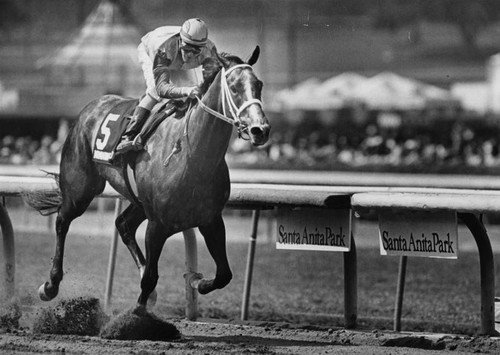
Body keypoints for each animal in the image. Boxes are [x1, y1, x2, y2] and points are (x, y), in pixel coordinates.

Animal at [25, 47, 272, 312]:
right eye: (234, 88)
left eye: (259, 84)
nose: (260, 129)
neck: (191, 154)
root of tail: (93, 105)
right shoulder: (157, 225)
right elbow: (151, 277)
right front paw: (137, 312)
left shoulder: (211, 219)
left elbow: (224, 274)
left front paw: (199, 283)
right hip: (80, 189)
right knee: (63, 221)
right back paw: (50, 285)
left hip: (138, 201)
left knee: (123, 224)